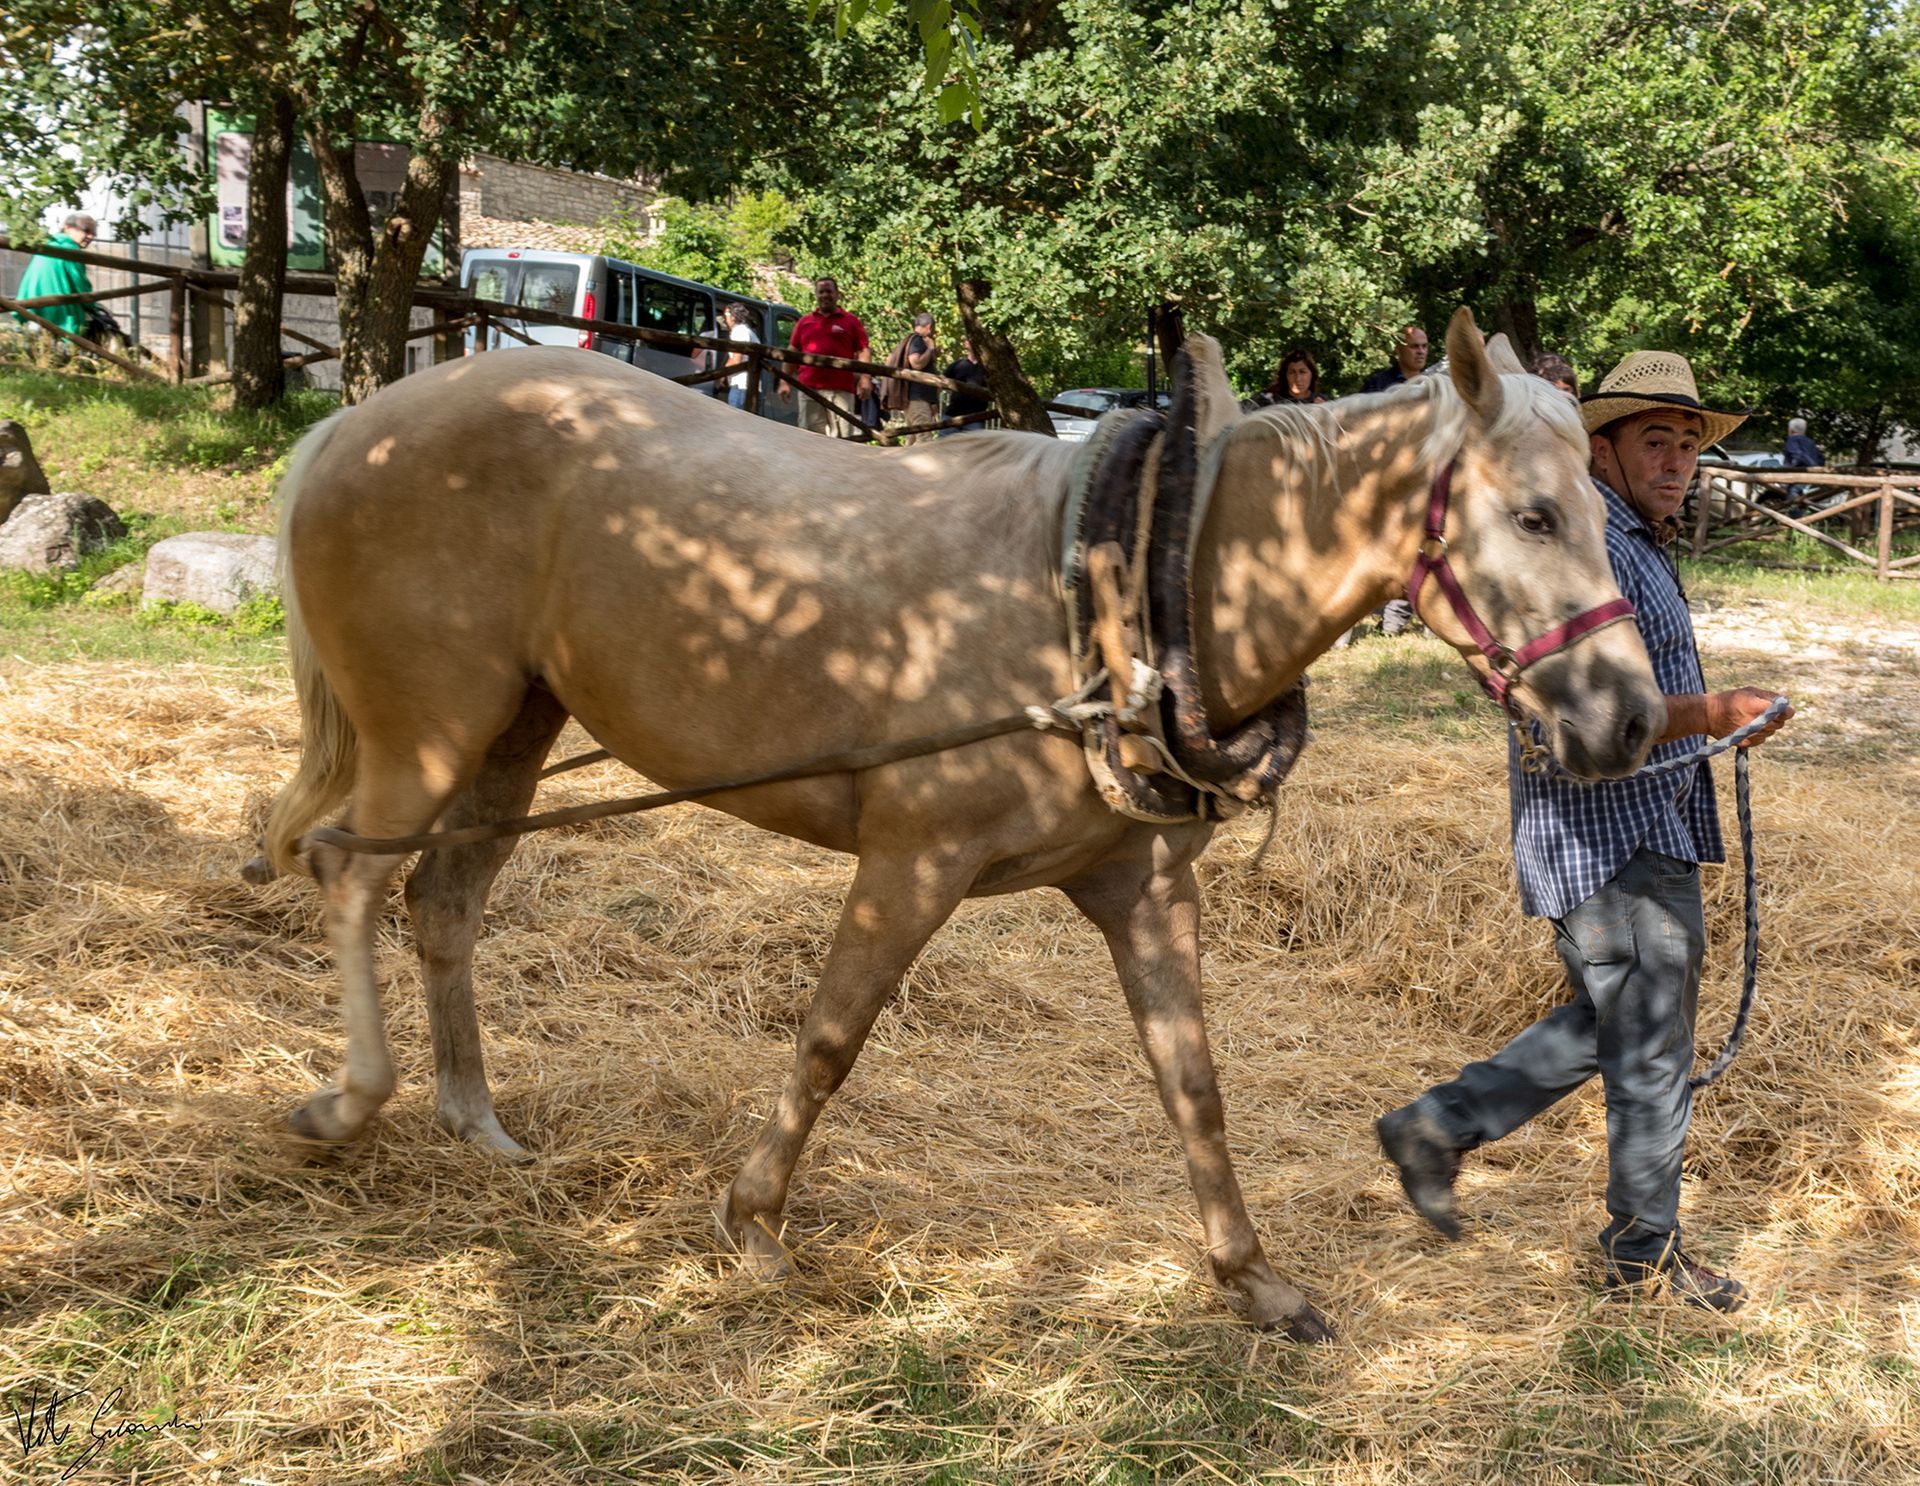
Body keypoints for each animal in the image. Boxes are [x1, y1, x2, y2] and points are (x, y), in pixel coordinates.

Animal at [259, 309, 1663, 1341]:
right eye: (1534, 514)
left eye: (1599, 512)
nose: (1634, 717)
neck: (1129, 579)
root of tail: (350, 426)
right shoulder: (913, 859)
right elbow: (831, 1038)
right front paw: (753, 1223)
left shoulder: (1144, 889)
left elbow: (1193, 1082)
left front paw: (1253, 1278)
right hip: (427, 733)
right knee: (346, 871)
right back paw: (349, 1103)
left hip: (516, 729)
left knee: (446, 902)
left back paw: (474, 1119)